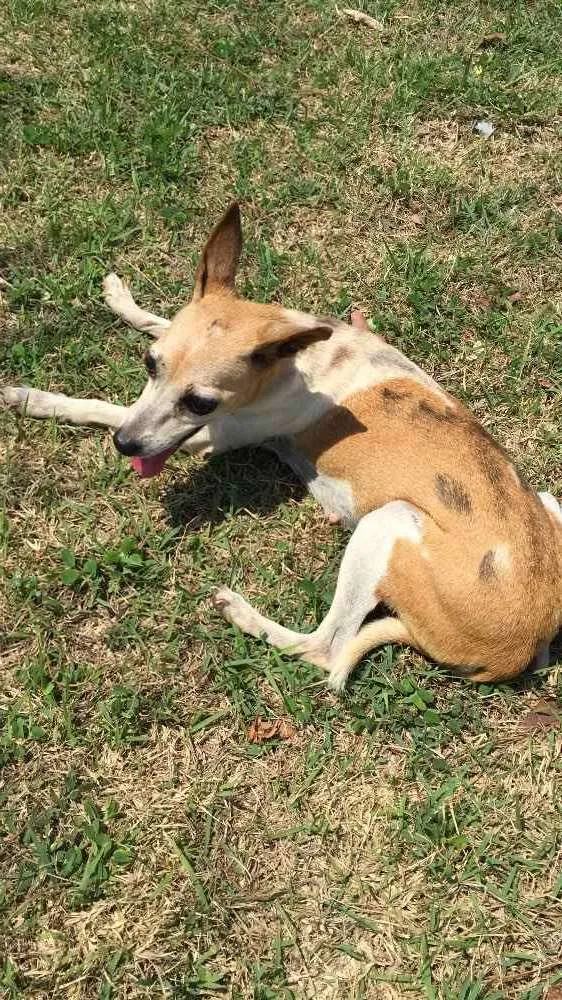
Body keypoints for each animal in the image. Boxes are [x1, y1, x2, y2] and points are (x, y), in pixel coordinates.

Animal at [2, 202, 556, 688]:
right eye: (149, 363)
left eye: (200, 403)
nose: (125, 446)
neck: (297, 359)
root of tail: (516, 651)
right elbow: (158, 320)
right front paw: (123, 300)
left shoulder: (211, 435)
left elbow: (102, 407)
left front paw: (37, 399)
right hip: (550, 503)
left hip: (388, 522)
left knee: (325, 647)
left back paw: (244, 615)